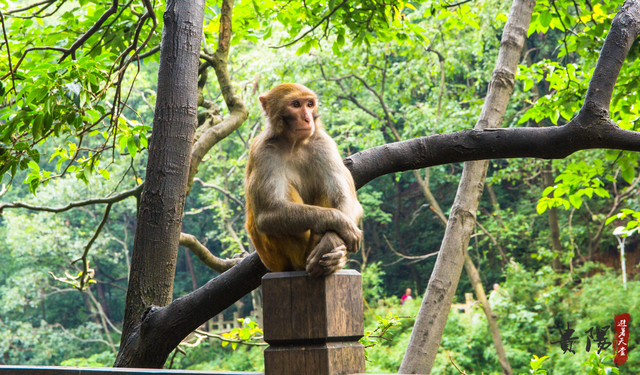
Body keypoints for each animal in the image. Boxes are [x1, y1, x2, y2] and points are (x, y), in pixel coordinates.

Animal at [245, 83, 362, 278]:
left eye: (309, 104)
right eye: (296, 104)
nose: (307, 119)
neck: (294, 144)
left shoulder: (324, 144)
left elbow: (347, 200)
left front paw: (331, 240)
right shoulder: (263, 152)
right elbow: (268, 214)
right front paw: (338, 222)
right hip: (274, 259)